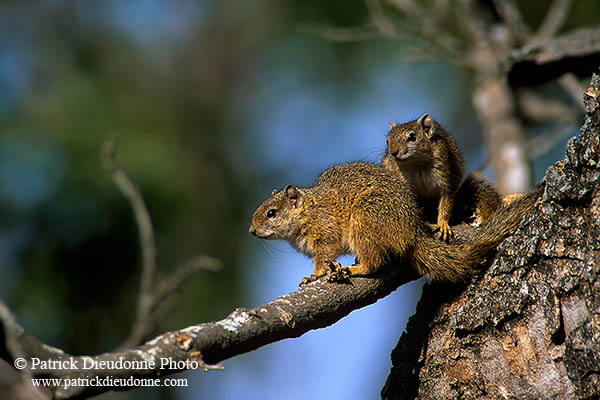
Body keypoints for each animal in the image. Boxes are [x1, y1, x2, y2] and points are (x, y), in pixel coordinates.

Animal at [248, 162, 540, 284]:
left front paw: (315, 275)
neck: (308, 210)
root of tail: (413, 233)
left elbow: (323, 257)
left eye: (271, 213)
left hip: (366, 220)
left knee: (374, 263)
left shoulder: (324, 231)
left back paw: (355, 268)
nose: (251, 231)